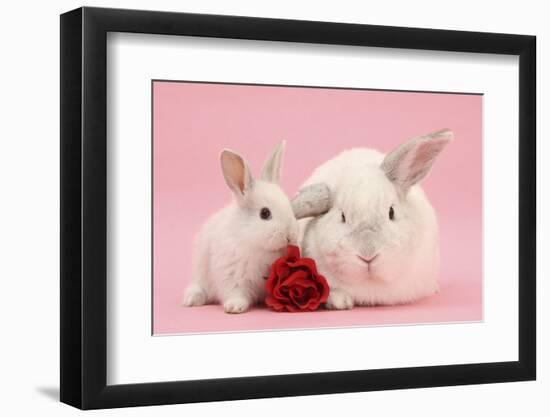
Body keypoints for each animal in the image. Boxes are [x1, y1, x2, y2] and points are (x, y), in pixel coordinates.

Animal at [183, 141, 300, 312]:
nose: (290, 235)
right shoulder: (232, 274)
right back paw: (191, 300)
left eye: (289, 206)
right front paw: (234, 307)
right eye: (265, 213)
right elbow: (235, 291)